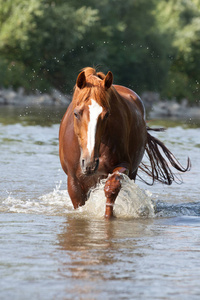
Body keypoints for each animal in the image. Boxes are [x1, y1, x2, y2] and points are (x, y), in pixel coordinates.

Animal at [59, 68, 191, 218]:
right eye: (76, 113)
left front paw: (108, 216)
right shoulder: (74, 181)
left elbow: (112, 187)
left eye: (106, 115)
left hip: (132, 172)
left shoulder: (124, 165)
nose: (89, 163)